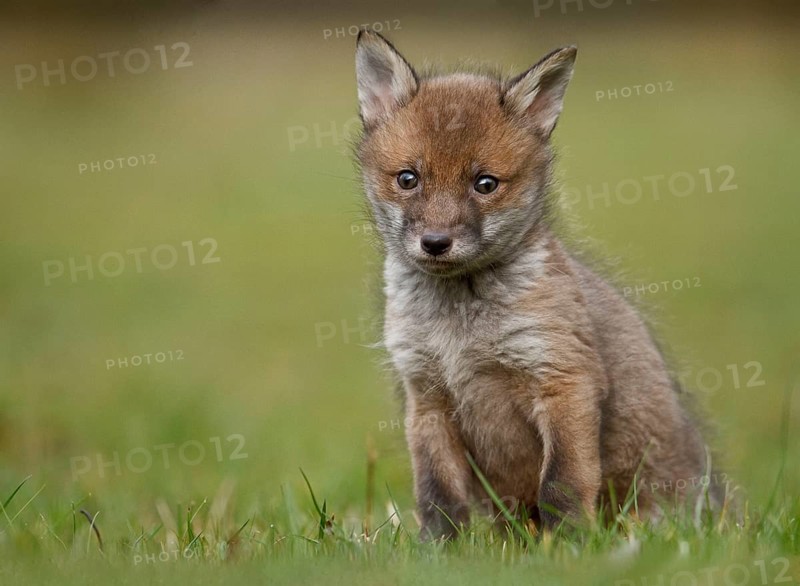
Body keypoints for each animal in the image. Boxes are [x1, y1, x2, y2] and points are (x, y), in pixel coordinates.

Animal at [354, 31, 720, 539]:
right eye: (408, 179)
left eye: (485, 184)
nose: (436, 243)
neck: (459, 332)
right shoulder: (426, 398)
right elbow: (437, 496)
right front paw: (438, 550)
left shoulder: (565, 379)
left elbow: (561, 484)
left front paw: (568, 545)